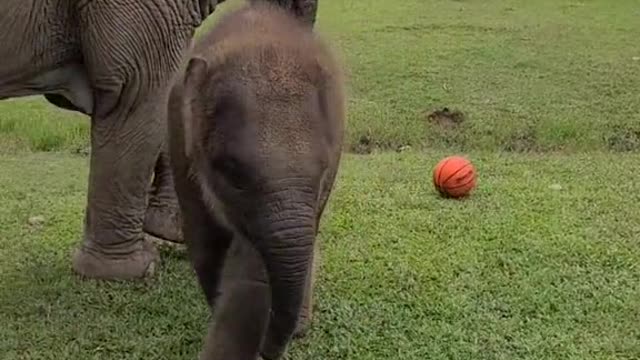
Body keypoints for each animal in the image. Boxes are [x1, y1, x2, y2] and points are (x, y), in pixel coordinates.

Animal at [165, 3, 344, 360]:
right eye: (233, 173)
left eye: (322, 172)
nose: (268, 349)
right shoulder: (179, 142)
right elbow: (205, 245)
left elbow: (255, 273)